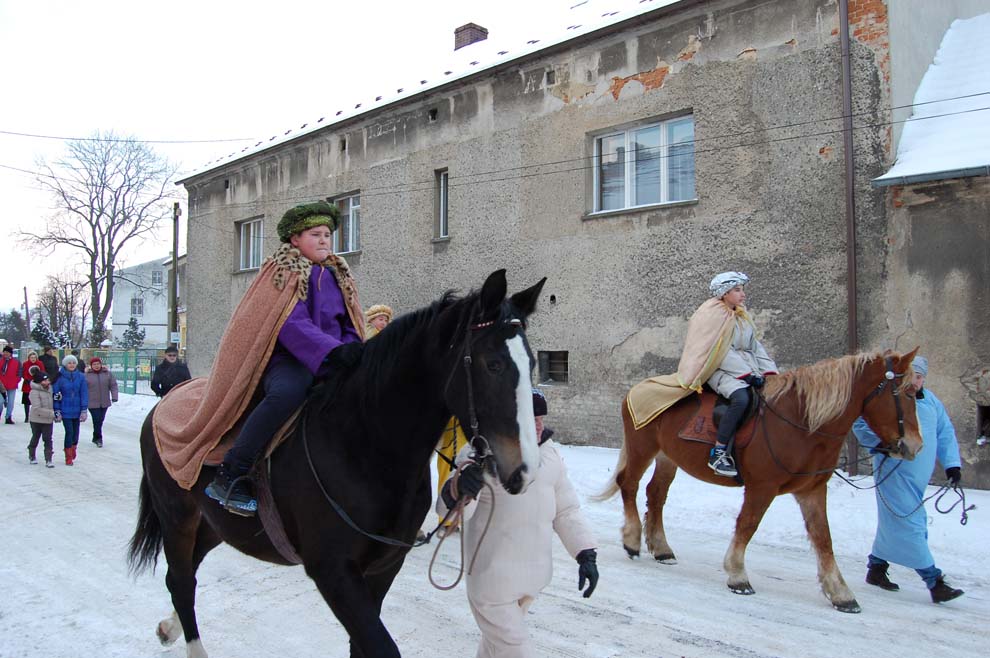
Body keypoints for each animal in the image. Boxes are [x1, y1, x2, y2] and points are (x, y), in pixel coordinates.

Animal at [128, 270, 548, 652]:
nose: (524, 470)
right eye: (492, 364)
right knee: (181, 581)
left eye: (532, 364)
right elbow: (379, 646)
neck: (364, 444)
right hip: (177, 515)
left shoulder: (382, 568)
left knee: (189, 569)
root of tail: (167, 401)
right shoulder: (334, 572)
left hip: (214, 521)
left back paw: (169, 627)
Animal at [600, 348, 928, 608]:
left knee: (656, 495)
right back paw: (632, 540)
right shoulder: (762, 486)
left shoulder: (812, 490)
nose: (914, 446)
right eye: (907, 392)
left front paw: (840, 592)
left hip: (668, 457)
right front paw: (737, 575)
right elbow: (748, 525)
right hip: (643, 448)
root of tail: (635, 390)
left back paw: (662, 548)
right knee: (629, 485)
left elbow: (823, 537)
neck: (802, 422)